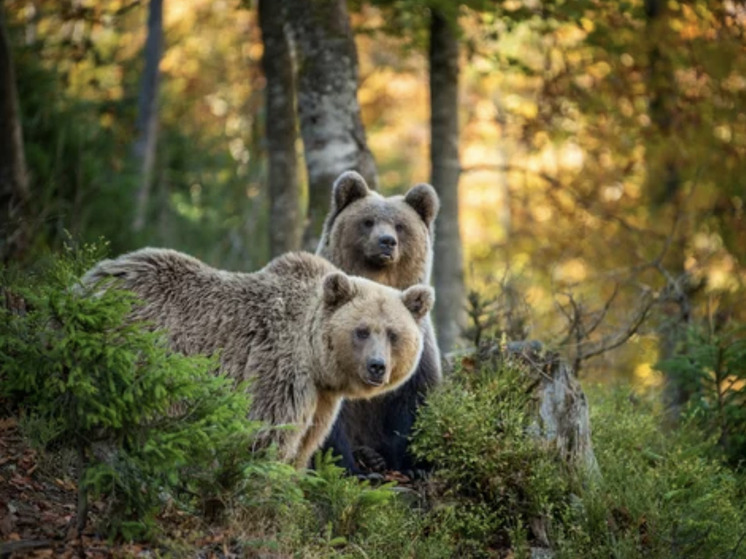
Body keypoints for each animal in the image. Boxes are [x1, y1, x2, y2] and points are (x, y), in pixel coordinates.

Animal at [80, 249, 430, 468]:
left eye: (393, 334)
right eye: (362, 331)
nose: (377, 366)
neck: (315, 359)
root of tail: (89, 282)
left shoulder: (322, 398)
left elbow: (306, 442)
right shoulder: (279, 368)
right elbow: (269, 433)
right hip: (142, 349)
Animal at [316, 172, 442, 476]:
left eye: (400, 225)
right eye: (368, 221)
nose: (387, 241)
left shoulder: (417, 347)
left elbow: (415, 400)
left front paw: (417, 465)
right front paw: (347, 467)